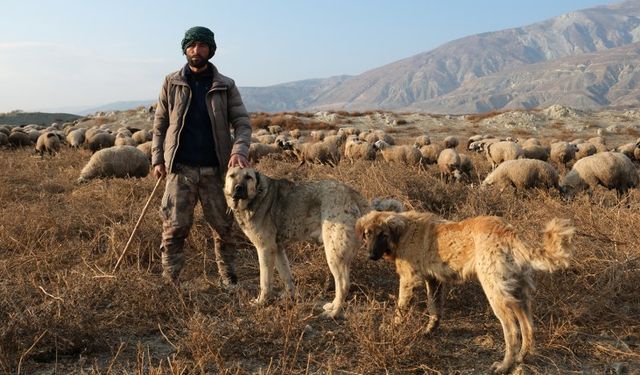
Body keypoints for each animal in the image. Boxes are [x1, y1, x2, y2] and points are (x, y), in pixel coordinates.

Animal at [356, 210, 576, 374]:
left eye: (382, 234)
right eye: (367, 234)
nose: (370, 255)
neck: (404, 231)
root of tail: (509, 232)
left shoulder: (409, 280)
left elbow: (400, 310)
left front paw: (392, 329)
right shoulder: (434, 280)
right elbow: (434, 307)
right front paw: (430, 330)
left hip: (495, 292)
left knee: (512, 331)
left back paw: (504, 366)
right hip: (518, 294)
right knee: (528, 326)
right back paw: (522, 357)